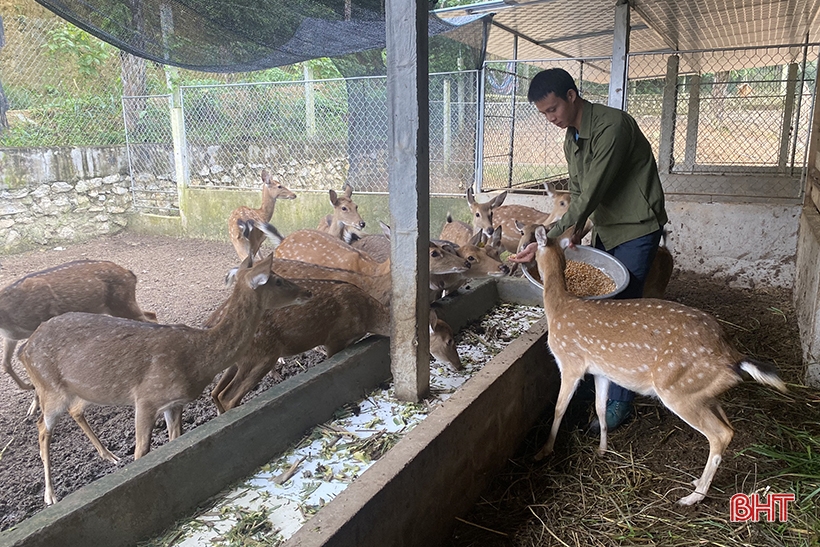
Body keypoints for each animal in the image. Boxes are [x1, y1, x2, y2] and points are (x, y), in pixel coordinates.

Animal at [0, 260, 156, 392]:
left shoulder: (43, 321)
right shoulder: (10, 337)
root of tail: (131, 274)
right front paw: (27, 386)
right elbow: (6, 363)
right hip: (119, 307)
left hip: (122, 304)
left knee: (149, 321)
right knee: (151, 315)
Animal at [21, 255, 314, 508]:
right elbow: (141, 452)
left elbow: (174, 442)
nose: (308, 292)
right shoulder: (146, 398)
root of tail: (25, 349)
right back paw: (51, 495)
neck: (197, 358)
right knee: (42, 428)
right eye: (277, 280)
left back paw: (110, 457)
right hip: (49, 389)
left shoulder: (174, 404)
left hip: (85, 390)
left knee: (74, 411)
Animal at [524, 226, 788, 506]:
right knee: (728, 426)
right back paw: (696, 482)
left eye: (534, 248)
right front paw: (602, 450)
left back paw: (692, 497)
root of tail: (732, 357)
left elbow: (559, 408)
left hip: (677, 390)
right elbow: (600, 409)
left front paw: (543, 451)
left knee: (720, 434)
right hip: (701, 391)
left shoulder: (570, 362)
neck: (560, 308)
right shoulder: (601, 371)